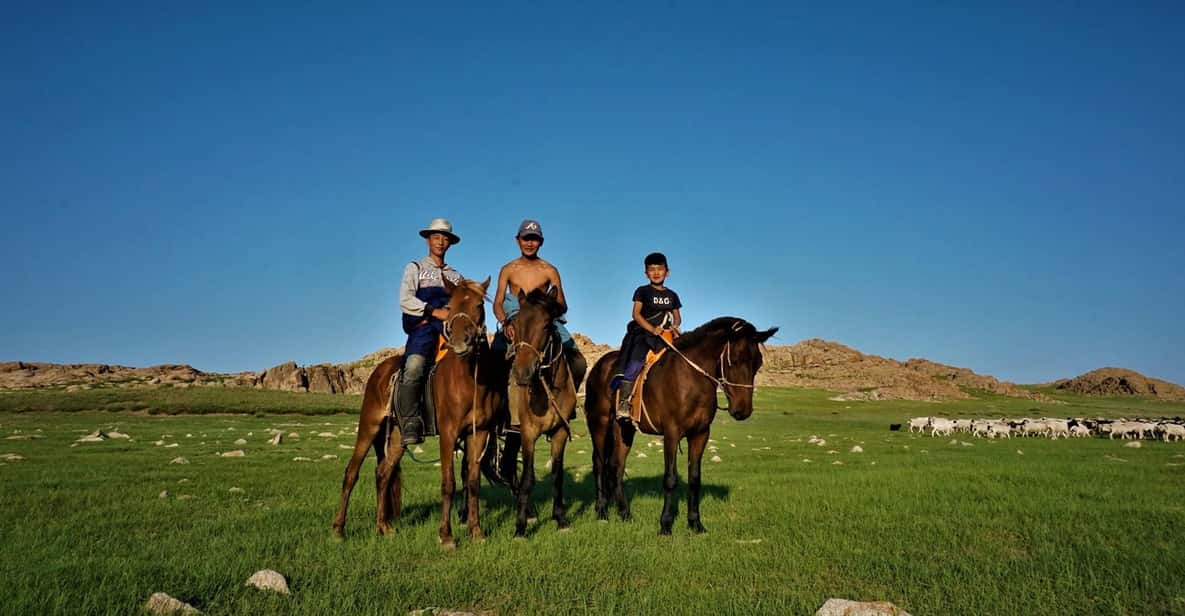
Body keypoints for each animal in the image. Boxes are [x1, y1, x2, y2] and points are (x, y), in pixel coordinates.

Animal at [331, 277, 507, 547]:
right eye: (450, 305)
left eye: (479, 304)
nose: (461, 341)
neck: (469, 382)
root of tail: (379, 372)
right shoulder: (448, 434)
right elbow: (448, 483)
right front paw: (446, 536)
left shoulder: (479, 433)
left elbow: (473, 483)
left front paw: (476, 532)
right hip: (369, 426)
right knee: (351, 473)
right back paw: (339, 530)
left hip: (396, 438)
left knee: (383, 474)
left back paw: (383, 527)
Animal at [509, 289, 578, 533]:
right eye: (515, 323)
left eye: (547, 324)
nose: (522, 373)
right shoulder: (528, 433)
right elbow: (528, 478)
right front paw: (520, 528)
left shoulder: (560, 432)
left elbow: (557, 475)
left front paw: (560, 518)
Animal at [583, 317, 777, 533]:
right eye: (734, 359)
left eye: (758, 363)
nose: (742, 411)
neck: (691, 378)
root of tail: (599, 367)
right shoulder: (672, 434)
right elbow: (670, 479)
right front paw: (666, 524)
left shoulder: (700, 434)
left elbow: (694, 478)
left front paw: (695, 523)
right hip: (599, 424)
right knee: (600, 464)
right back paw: (602, 510)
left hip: (623, 429)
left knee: (616, 466)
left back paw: (625, 514)